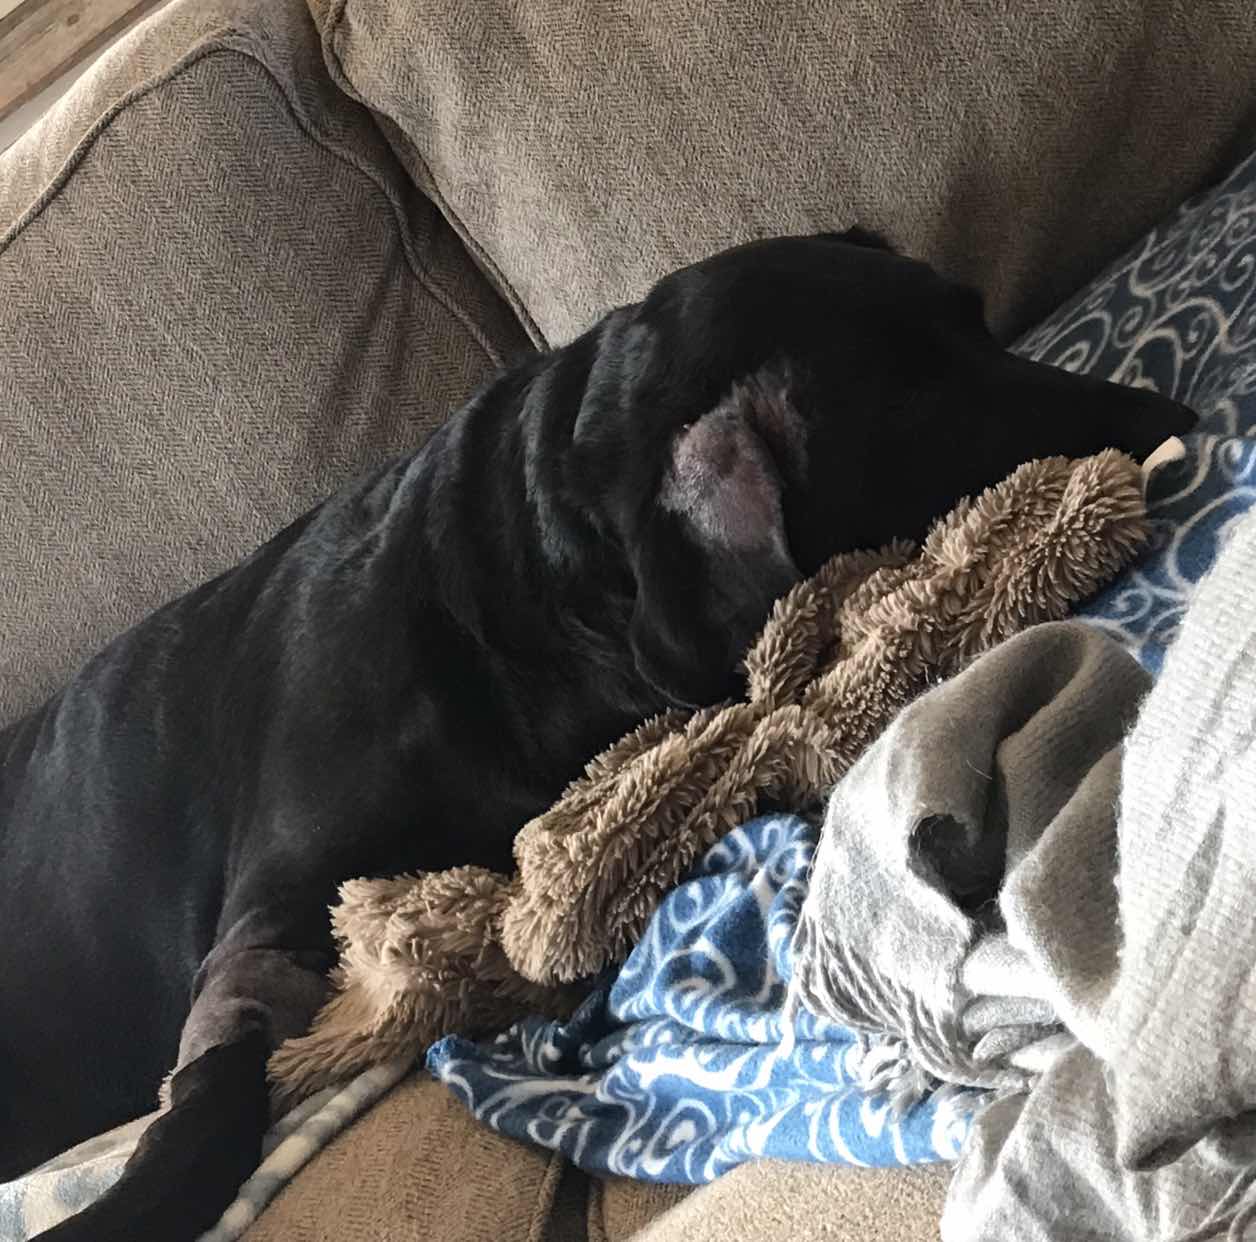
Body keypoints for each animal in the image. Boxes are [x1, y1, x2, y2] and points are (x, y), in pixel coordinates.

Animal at [0, 232, 1194, 1239]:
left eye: (981, 319)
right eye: (924, 407)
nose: (1168, 404)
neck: (500, 589)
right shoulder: (266, 932)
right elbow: (212, 1102)